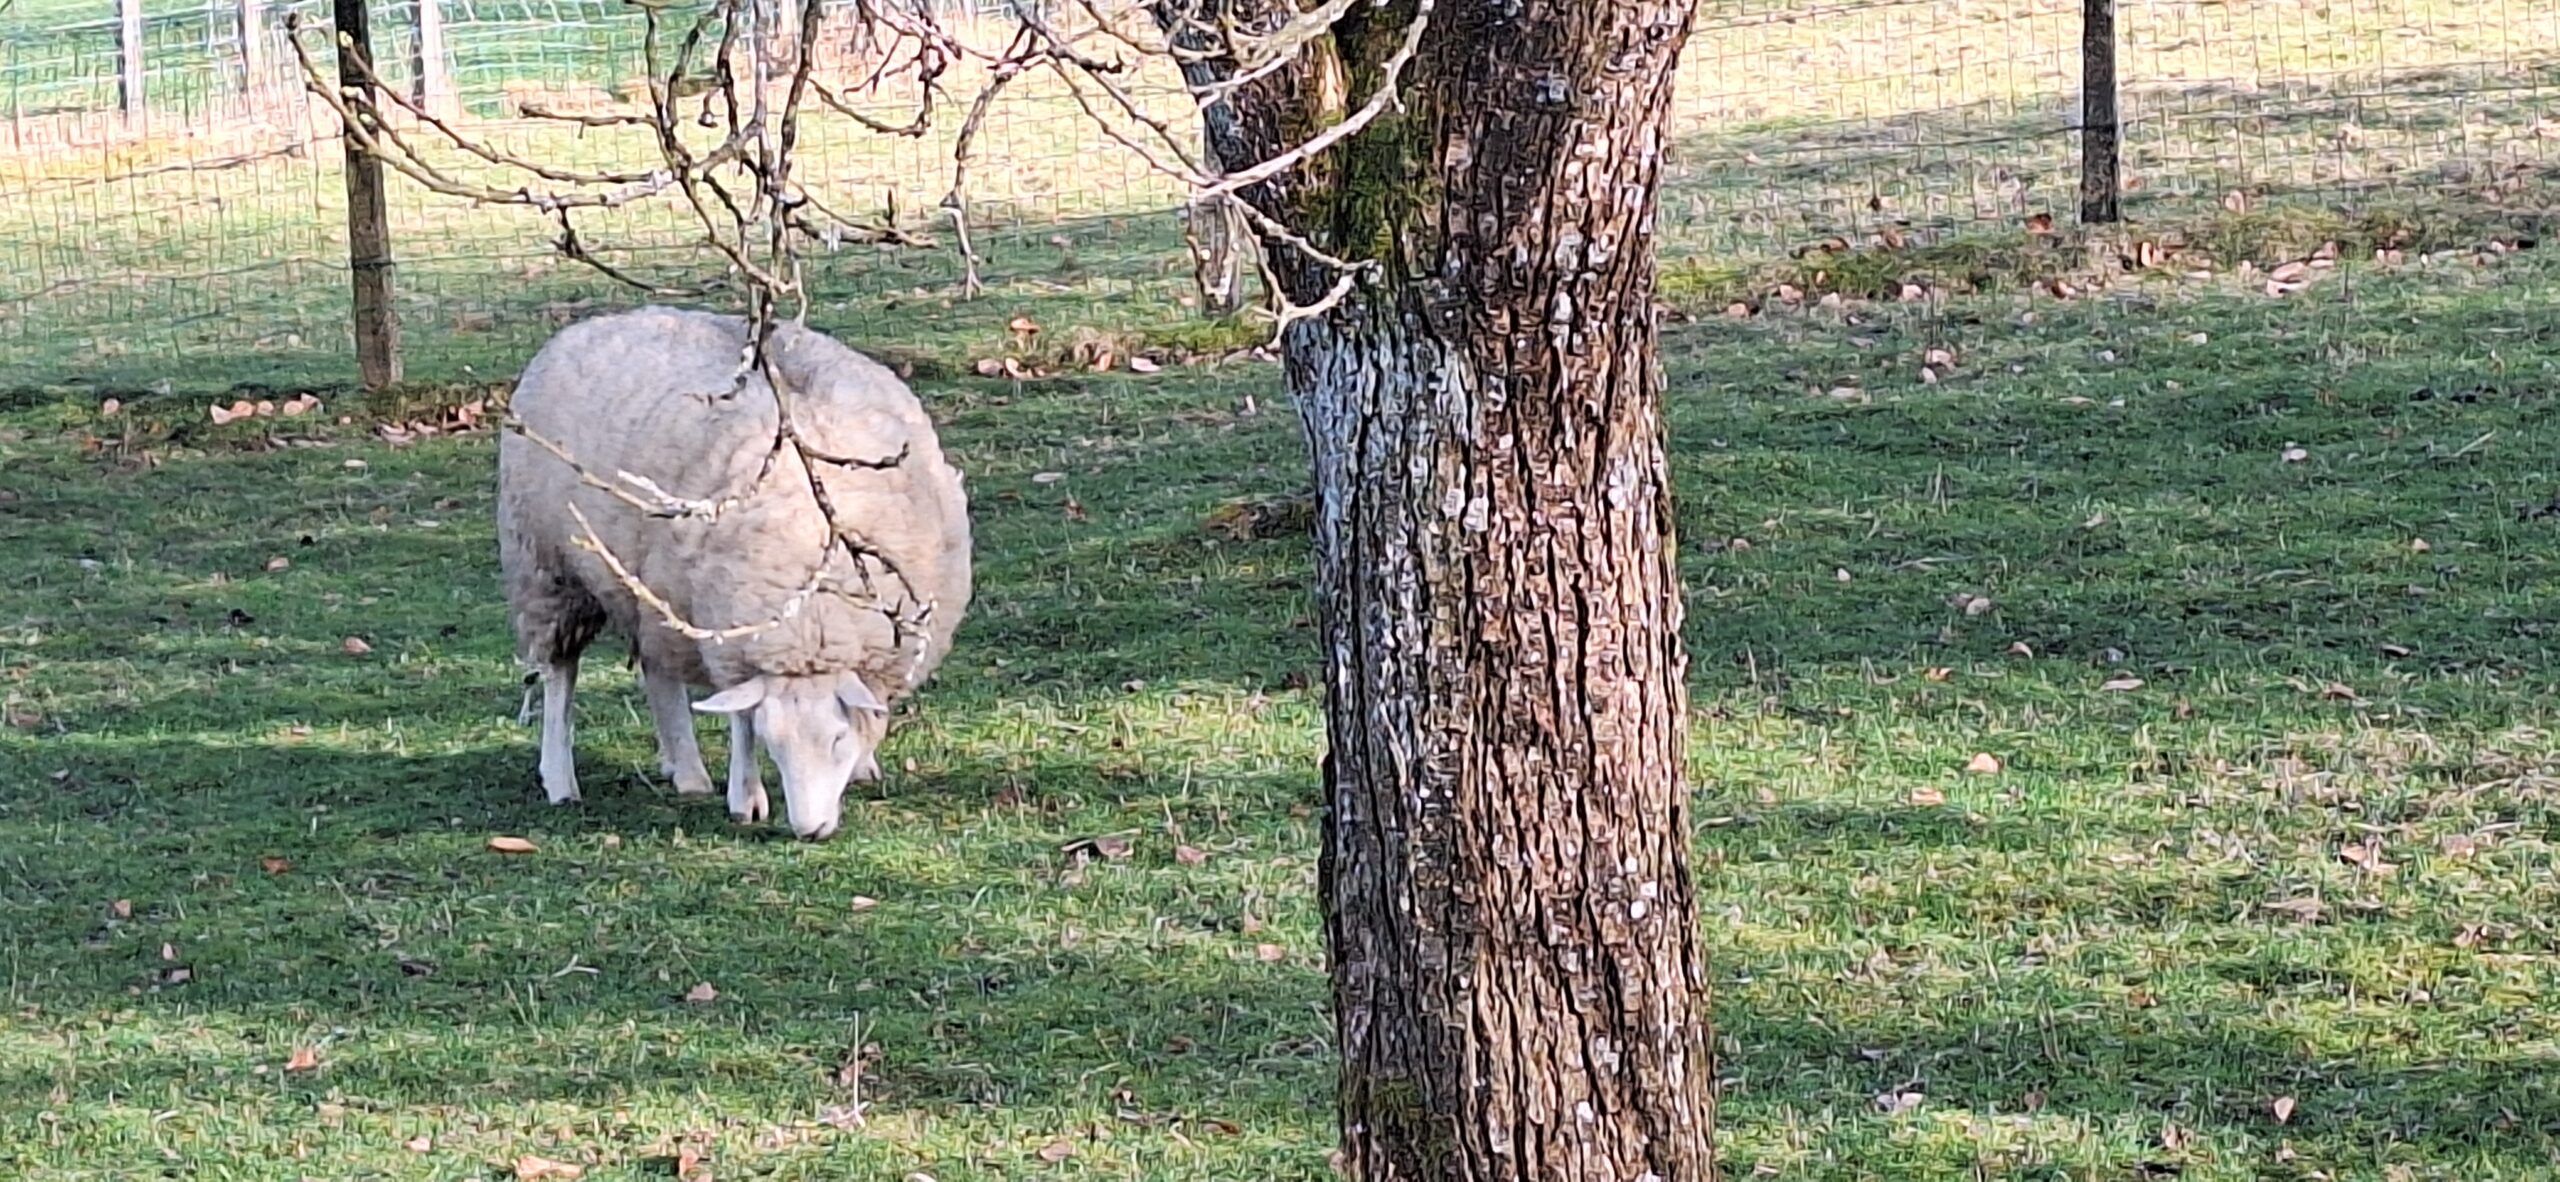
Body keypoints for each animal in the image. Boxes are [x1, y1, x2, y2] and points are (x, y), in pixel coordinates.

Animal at [496, 305, 971, 841]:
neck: (812, 621)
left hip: (654, 591)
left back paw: (683, 769)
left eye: (836, 739)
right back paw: (562, 778)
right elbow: (742, 721)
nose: (809, 830)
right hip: (548, 570)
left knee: (657, 668)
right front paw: (746, 797)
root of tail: (591, 323)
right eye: (774, 743)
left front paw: (864, 763)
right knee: (561, 675)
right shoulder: (734, 634)